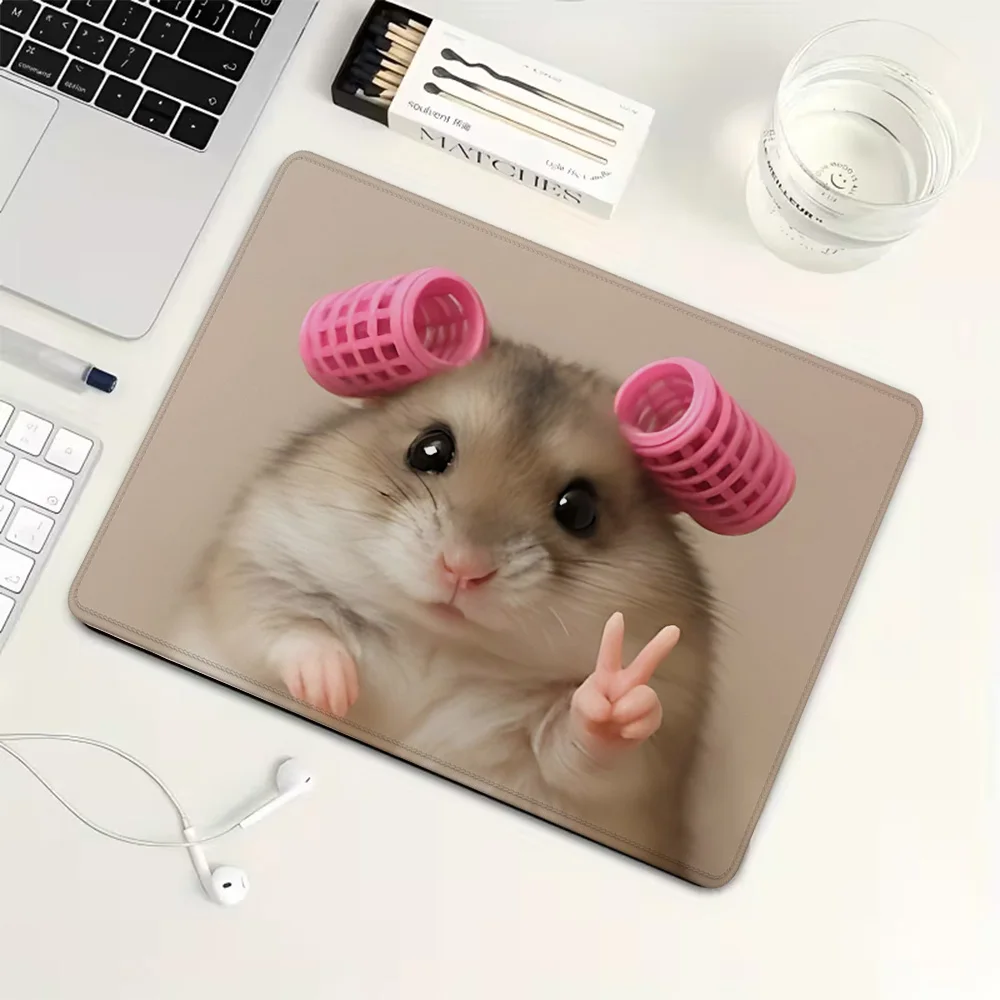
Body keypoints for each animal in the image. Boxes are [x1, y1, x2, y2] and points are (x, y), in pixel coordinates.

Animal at [174, 339, 716, 861]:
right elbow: (285, 623)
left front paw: (616, 691)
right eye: (429, 450)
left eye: (580, 510)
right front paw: (332, 691)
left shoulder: (654, 746)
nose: (463, 568)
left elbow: (585, 746)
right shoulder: (256, 558)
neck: (436, 642)